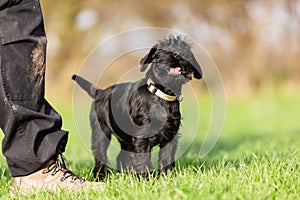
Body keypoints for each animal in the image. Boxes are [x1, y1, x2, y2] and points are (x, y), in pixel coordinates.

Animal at [72, 35, 203, 179]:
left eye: (185, 49)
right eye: (164, 49)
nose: (178, 53)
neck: (161, 95)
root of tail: (100, 92)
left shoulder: (170, 137)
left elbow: (166, 158)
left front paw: (166, 177)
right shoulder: (142, 137)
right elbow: (143, 159)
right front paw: (147, 179)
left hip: (126, 139)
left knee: (121, 156)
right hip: (100, 131)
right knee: (100, 152)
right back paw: (101, 176)